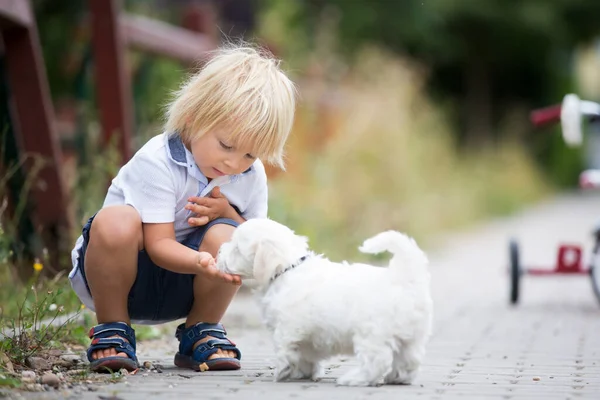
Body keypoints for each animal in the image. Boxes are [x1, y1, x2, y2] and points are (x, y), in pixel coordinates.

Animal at [216, 217, 432, 386]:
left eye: (236, 248)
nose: (218, 252)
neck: (288, 268)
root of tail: (403, 277)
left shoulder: (286, 328)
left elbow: (285, 350)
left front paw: (282, 372)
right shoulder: (305, 337)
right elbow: (305, 355)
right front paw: (303, 373)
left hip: (372, 334)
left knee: (377, 361)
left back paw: (355, 379)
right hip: (410, 337)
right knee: (408, 360)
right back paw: (397, 378)